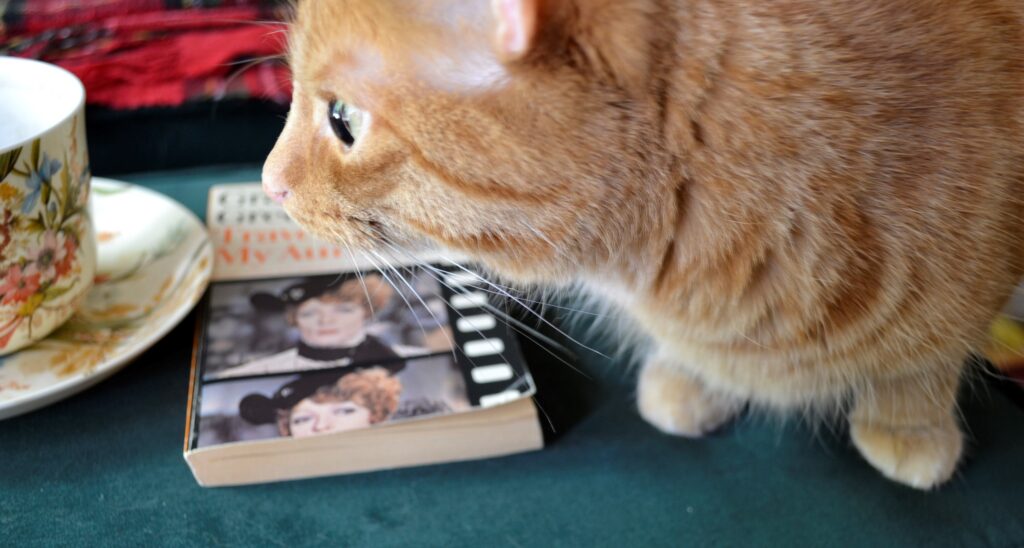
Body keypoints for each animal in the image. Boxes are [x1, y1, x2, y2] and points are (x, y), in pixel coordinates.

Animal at [264, 0, 1024, 489]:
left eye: (343, 119)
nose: (267, 183)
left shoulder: (976, 272)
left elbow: (922, 363)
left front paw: (909, 426)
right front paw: (693, 379)